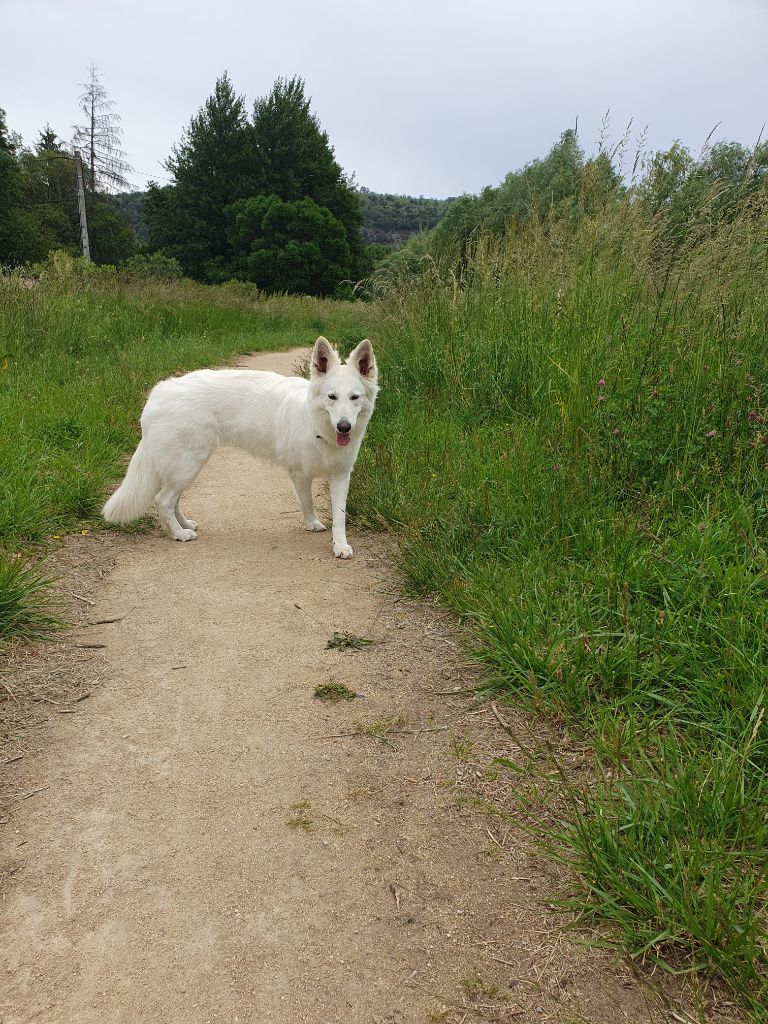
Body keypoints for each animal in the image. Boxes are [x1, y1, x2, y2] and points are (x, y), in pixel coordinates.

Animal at [102, 337, 378, 561]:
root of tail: (159, 392)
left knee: (173, 499)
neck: (317, 424)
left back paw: (185, 525)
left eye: (354, 398)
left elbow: (339, 516)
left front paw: (340, 545)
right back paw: (179, 534)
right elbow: (307, 501)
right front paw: (311, 523)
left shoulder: (341, 475)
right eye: (332, 397)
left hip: (187, 467)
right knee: (163, 500)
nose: (344, 427)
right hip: (188, 464)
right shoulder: (299, 474)